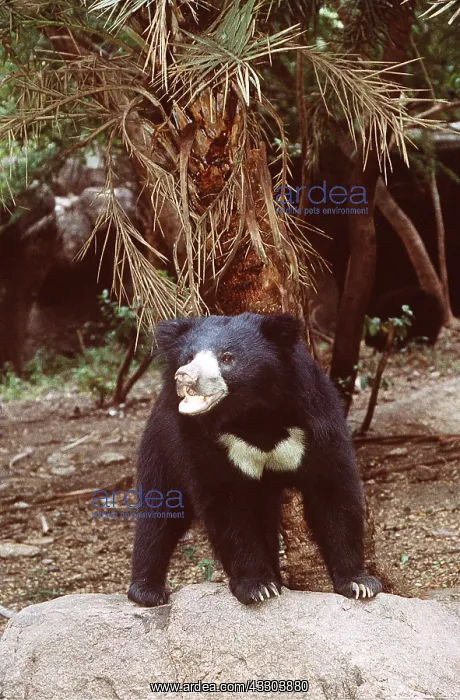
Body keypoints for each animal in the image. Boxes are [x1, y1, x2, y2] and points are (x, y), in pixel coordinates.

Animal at [128, 313, 382, 606]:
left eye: (227, 357)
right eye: (188, 357)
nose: (185, 377)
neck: (253, 417)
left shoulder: (318, 421)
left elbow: (333, 492)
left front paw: (360, 583)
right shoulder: (200, 441)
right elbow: (226, 507)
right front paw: (258, 586)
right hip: (162, 442)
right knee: (160, 511)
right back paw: (147, 590)